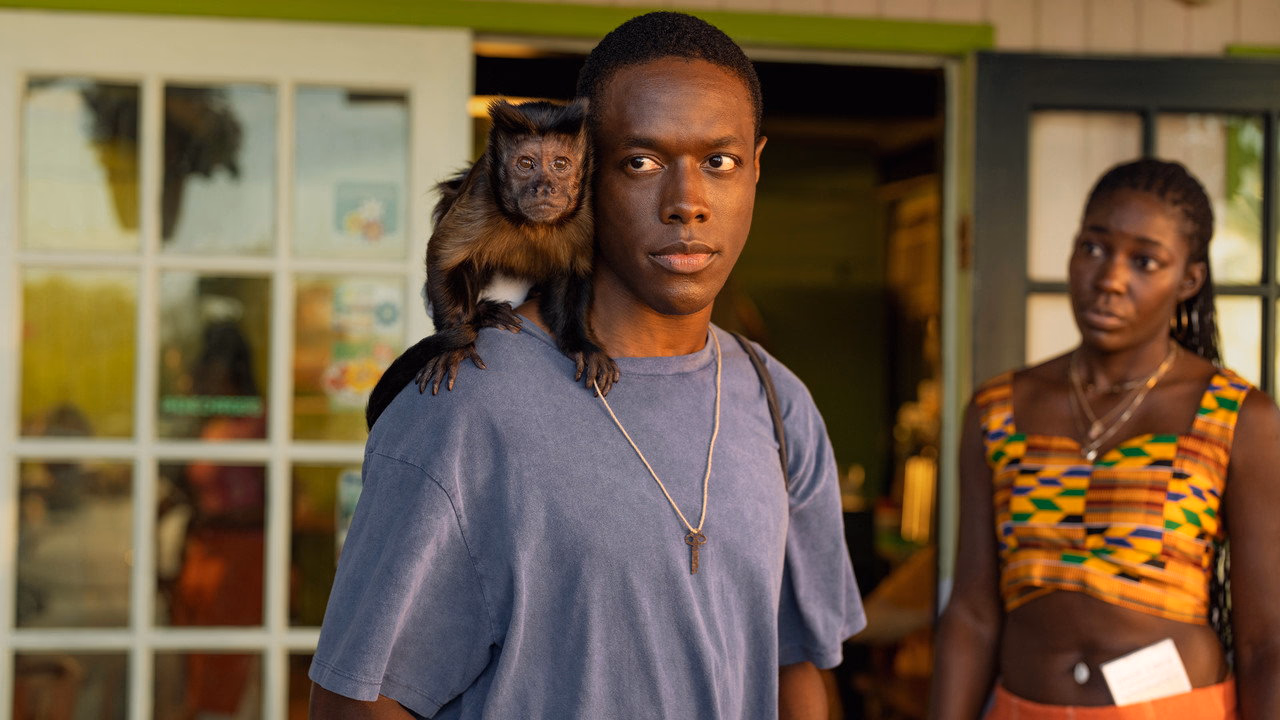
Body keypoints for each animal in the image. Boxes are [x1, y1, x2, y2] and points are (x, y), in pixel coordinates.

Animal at [364, 98, 619, 430]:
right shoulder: (482, 191)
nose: (544, 186)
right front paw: (456, 345)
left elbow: (574, 270)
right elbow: (443, 256)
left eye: (560, 164)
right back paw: (483, 314)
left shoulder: (586, 204)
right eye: (526, 164)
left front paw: (580, 344)